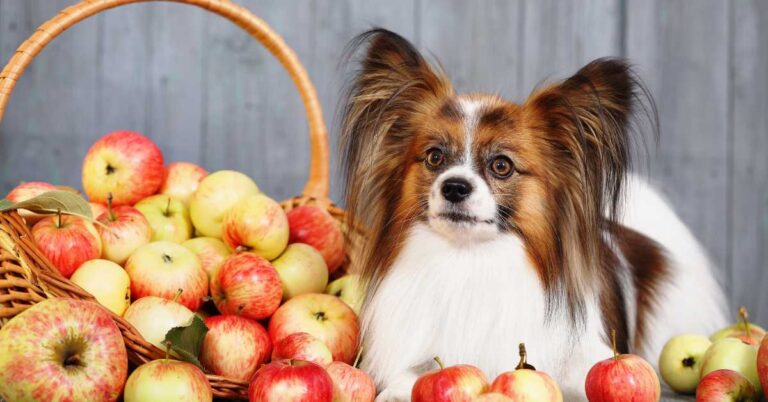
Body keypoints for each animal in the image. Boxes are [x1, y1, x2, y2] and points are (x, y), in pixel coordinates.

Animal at [340, 29, 728, 400]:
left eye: (501, 166)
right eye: (435, 157)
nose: (454, 187)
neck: (470, 260)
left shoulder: (587, 355)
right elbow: (414, 370)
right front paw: (395, 392)